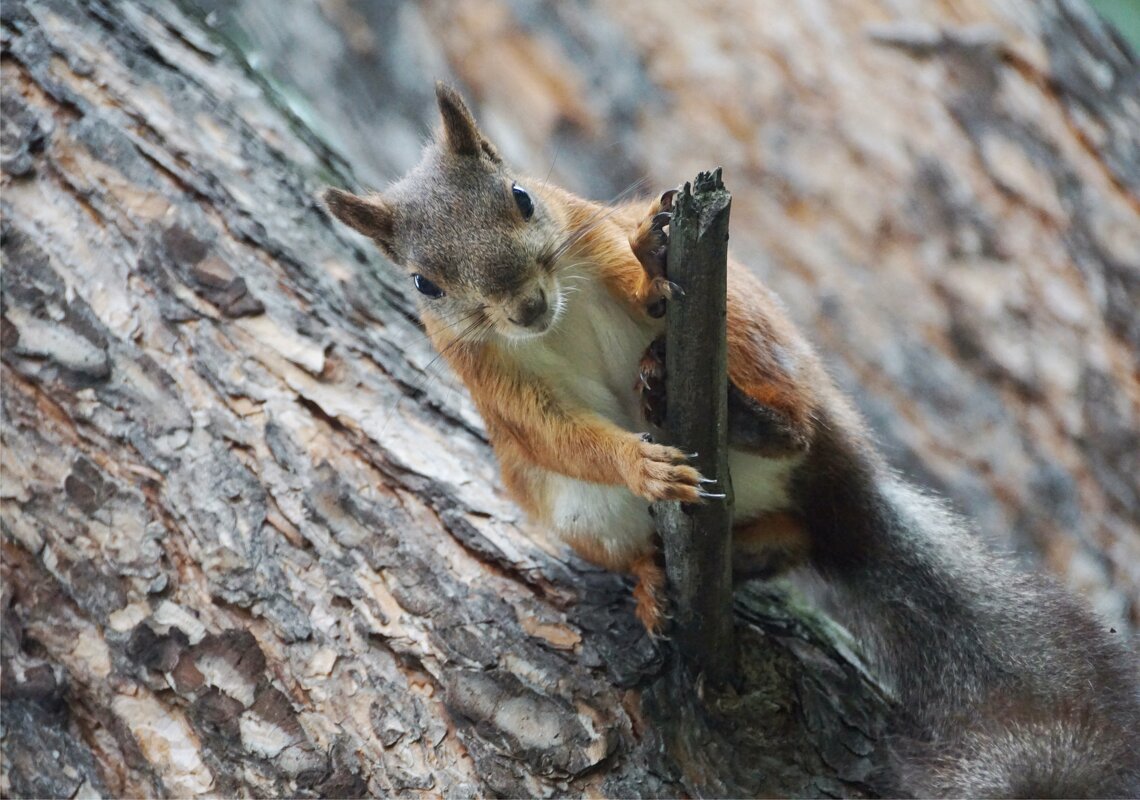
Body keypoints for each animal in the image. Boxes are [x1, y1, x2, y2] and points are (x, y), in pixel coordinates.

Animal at [323, 84, 1140, 797]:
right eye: (425, 283)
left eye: (520, 196)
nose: (524, 306)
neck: (555, 316)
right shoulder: (495, 384)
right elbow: (554, 433)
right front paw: (638, 464)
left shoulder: (590, 228)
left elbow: (630, 268)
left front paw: (650, 263)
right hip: (581, 510)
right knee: (766, 537)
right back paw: (665, 581)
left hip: (748, 324)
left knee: (797, 437)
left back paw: (757, 424)